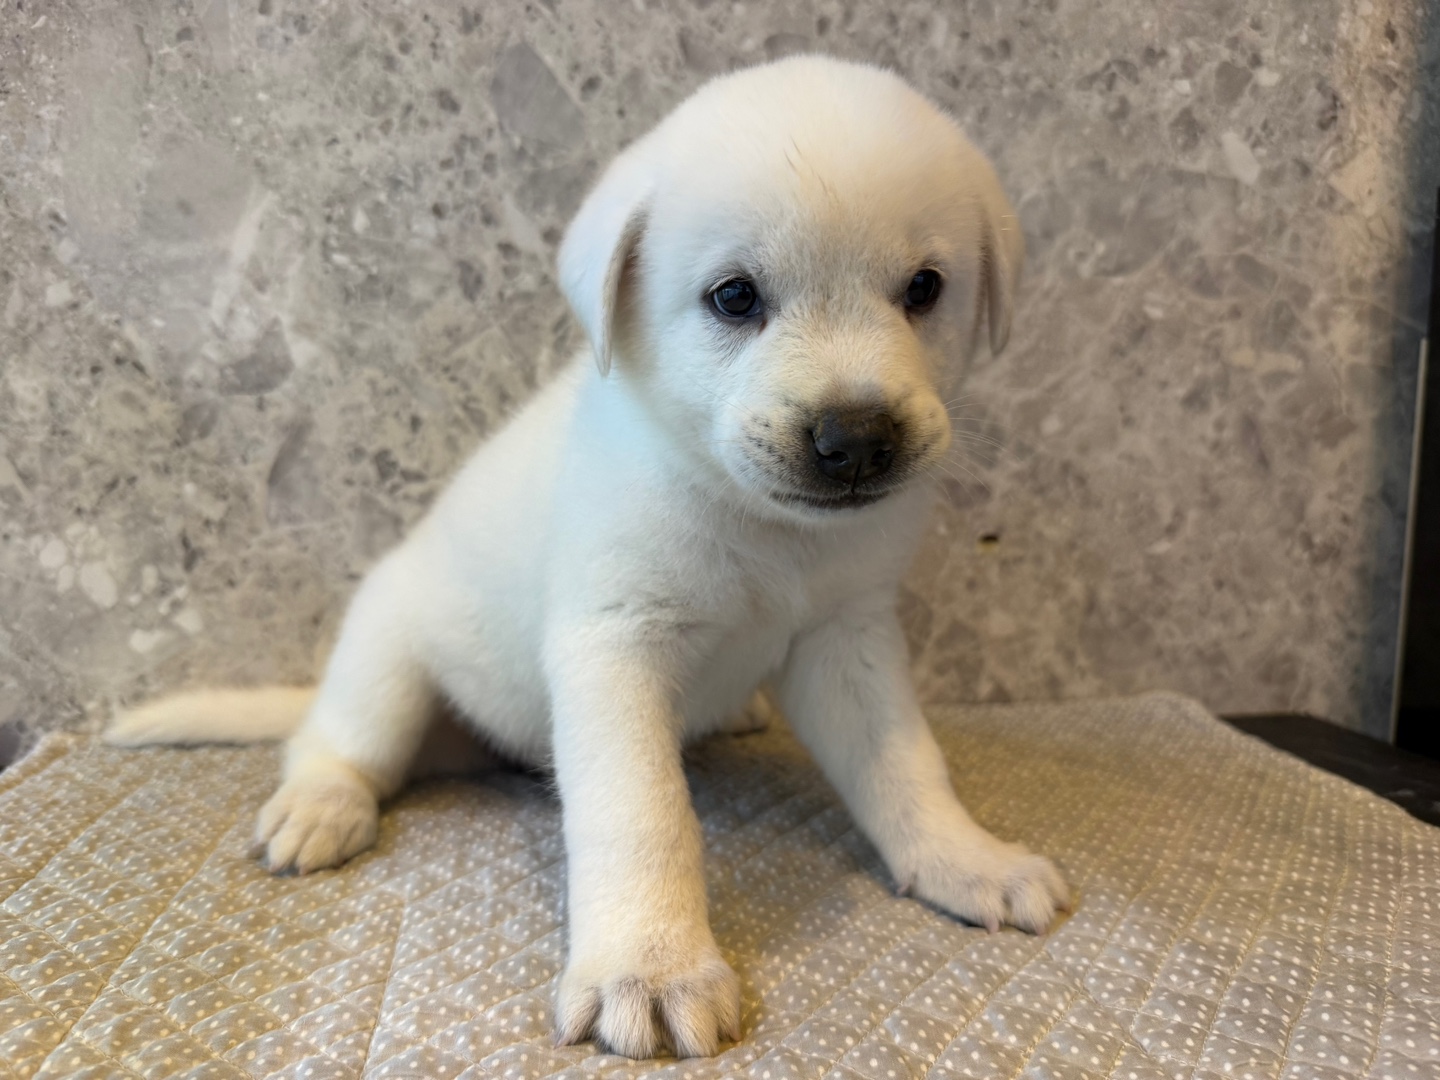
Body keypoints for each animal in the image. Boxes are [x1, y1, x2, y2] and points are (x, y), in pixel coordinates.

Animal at [107, 55, 1068, 1059]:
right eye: (734, 297)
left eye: (924, 288)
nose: (855, 441)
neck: (754, 521)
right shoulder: (615, 647)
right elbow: (640, 815)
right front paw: (647, 966)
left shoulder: (849, 640)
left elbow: (905, 768)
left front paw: (963, 860)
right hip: (386, 655)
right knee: (337, 743)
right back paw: (320, 805)